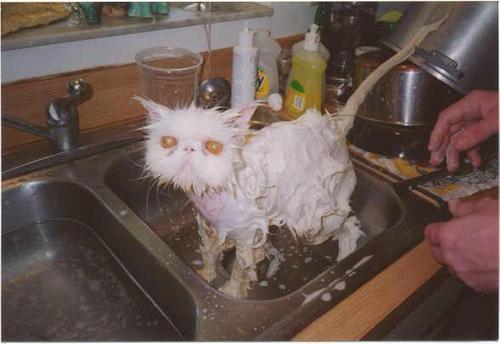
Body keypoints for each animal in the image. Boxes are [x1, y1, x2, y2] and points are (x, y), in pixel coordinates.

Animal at [139, 98, 362, 296]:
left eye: (213, 147)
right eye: (168, 141)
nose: (189, 148)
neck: (219, 189)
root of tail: (335, 128)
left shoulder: (247, 235)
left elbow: (240, 271)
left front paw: (231, 292)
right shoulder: (209, 225)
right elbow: (210, 255)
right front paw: (205, 275)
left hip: (319, 220)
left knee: (349, 226)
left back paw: (344, 258)